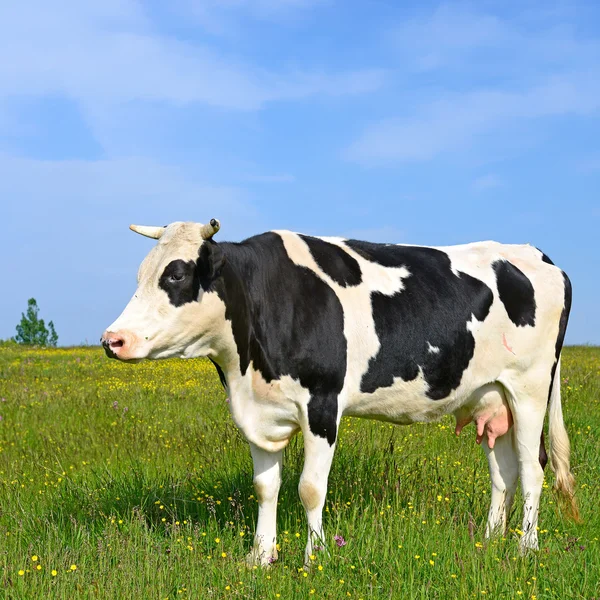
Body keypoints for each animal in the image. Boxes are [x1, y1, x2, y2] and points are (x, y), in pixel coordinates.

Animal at [102, 218, 576, 564]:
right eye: (141, 274)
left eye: (177, 274)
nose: (113, 339)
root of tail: (537, 254)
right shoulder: (259, 412)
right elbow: (265, 487)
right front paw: (260, 557)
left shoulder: (322, 405)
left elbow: (310, 488)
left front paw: (315, 558)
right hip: (490, 396)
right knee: (504, 472)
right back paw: (491, 540)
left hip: (530, 388)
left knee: (533, 468)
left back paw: (525, 547)